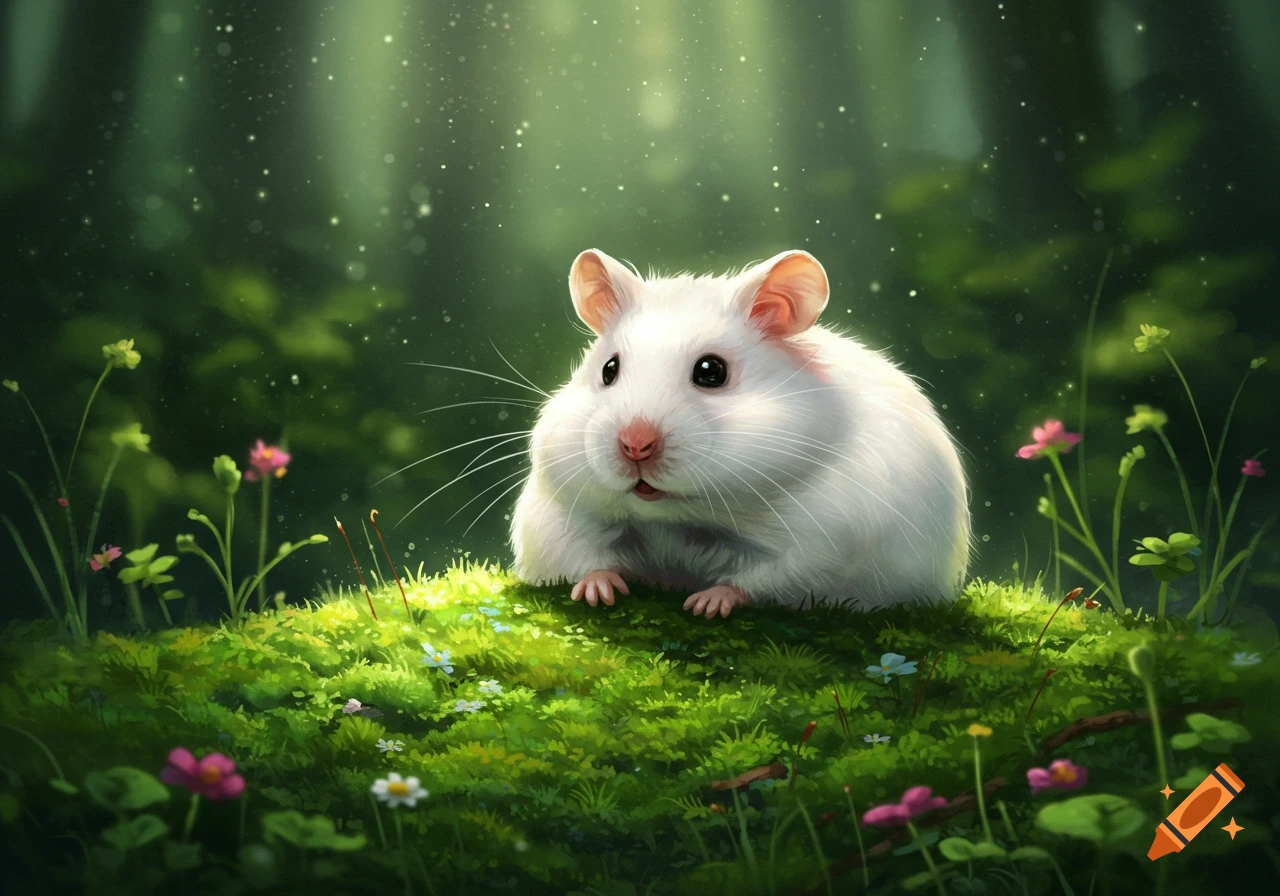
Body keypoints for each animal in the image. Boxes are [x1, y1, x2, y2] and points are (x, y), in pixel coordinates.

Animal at [510, 248, 971, 618]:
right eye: (608, 369)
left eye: (711, 371)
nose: (635, 445)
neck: (682, 519)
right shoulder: (556, 510)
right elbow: (580, 556)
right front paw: (598, 591)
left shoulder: (832, 541)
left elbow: (766, 579)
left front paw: (707, 604)